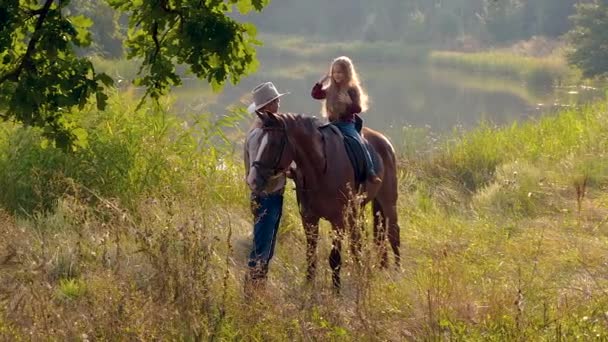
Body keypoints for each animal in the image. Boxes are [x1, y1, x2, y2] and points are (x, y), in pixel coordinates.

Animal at [247, 111, 400, 288]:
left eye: (273, 144)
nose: (253, 180)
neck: (320, 168)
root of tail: (384, 141)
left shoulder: (338, 221)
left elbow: (335, 258)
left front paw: (336, 290)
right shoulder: (309, 218)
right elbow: (311, 254)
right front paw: (308, 285)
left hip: (388, 201)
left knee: (393, 233)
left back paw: (397, 273)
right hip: (358, 209)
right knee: (361, 239)